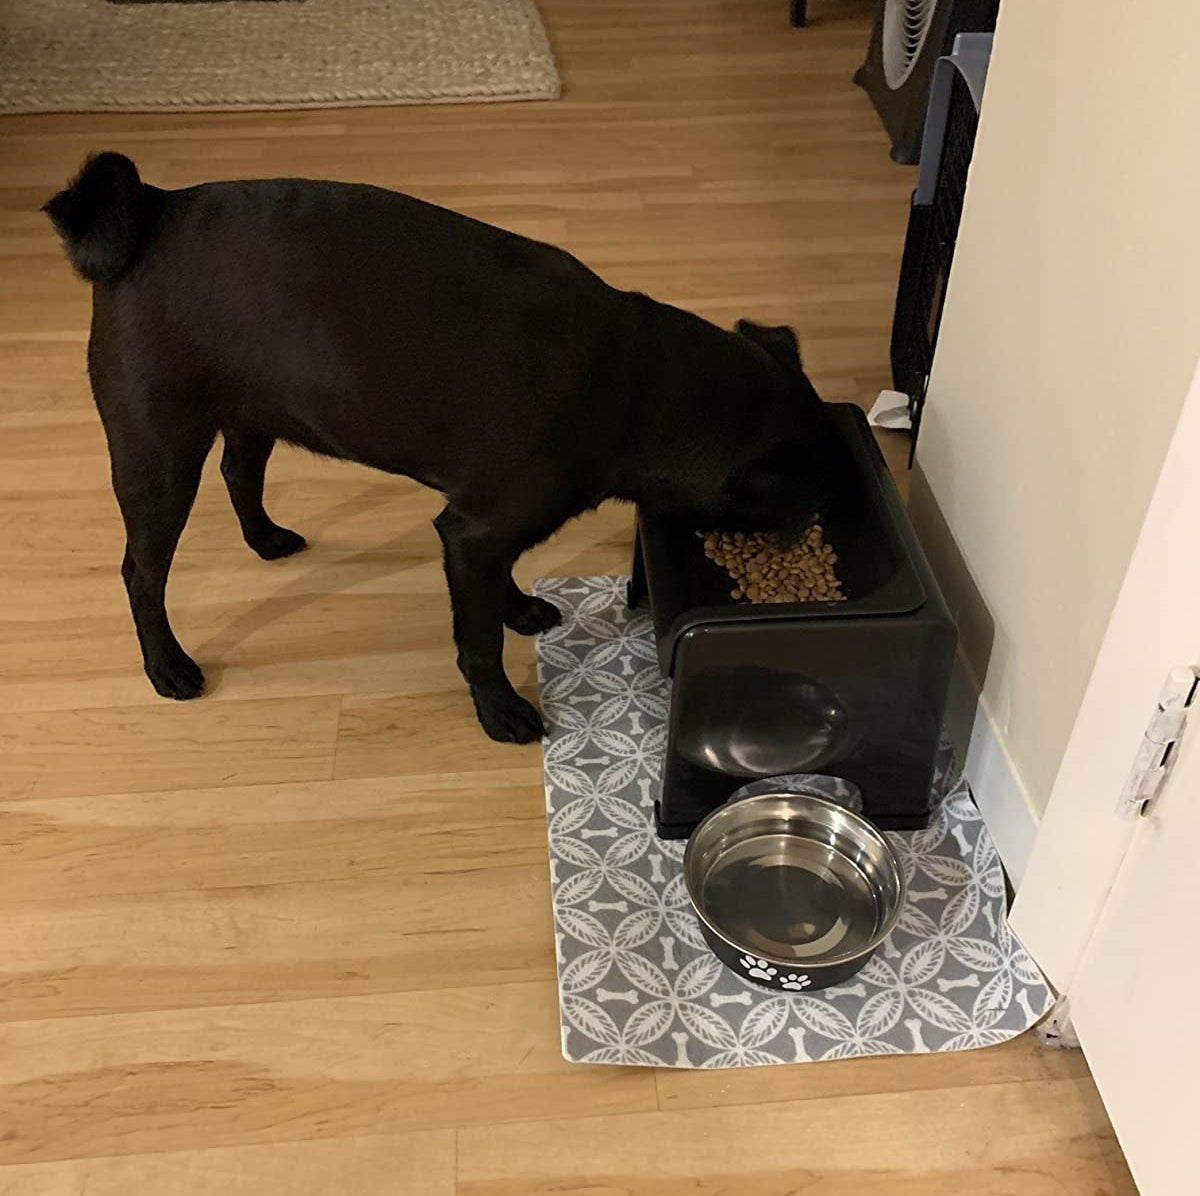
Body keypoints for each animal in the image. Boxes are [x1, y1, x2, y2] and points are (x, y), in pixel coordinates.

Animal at [42, 153, 840, 743]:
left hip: (252, 410)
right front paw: (500, 709)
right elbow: (477, 640)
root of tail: (150, 213)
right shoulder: (475, 529)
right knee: (142, 574)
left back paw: (265, 539)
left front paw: (520, 609)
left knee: (241, 471)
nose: (812, 522)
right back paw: (167, 666)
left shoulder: (485, 532)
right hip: (157, 460)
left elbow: (502, 581)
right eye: (802, 497)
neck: (642, 383)